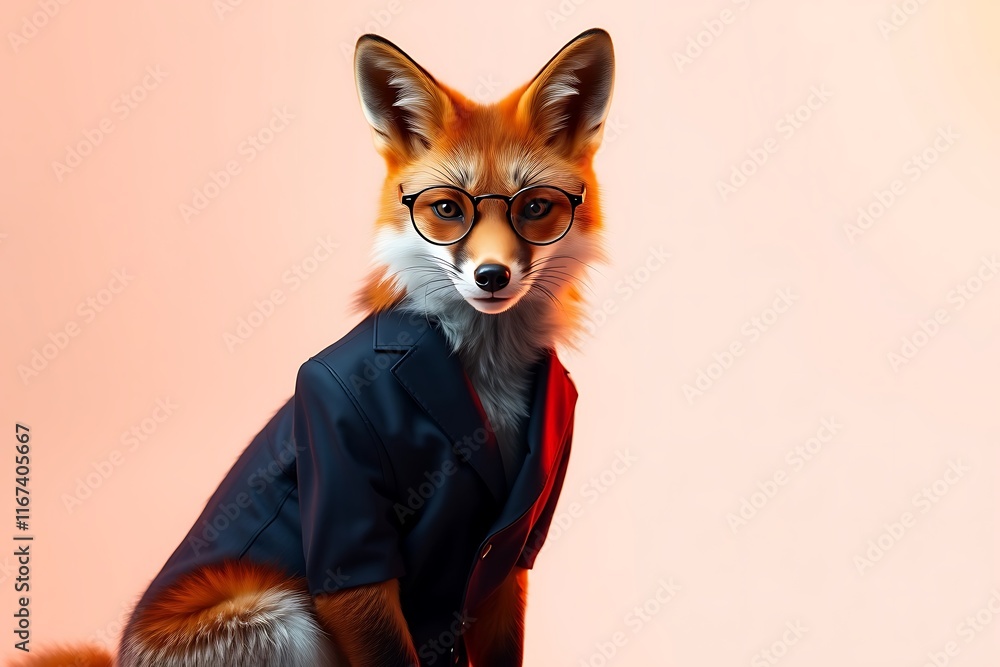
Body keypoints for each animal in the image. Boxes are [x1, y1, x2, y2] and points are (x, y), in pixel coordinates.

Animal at [19, 27, 614, 667]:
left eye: (535, 207)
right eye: (448, 209)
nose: (491, 277)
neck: (482, 378)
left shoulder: (510, 552)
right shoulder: (349, 544)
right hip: (281, 609)